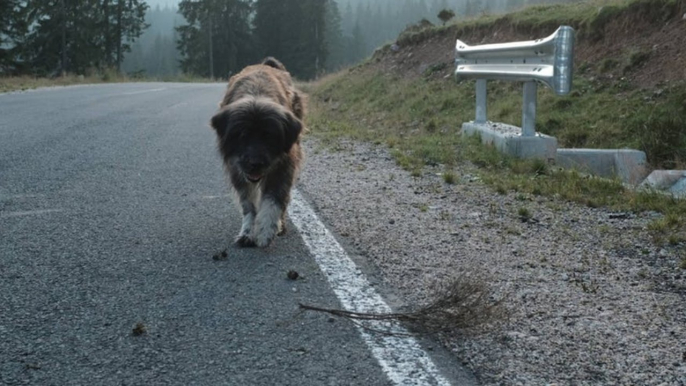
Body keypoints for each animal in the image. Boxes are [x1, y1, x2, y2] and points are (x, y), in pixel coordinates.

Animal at [210, 58, 306, 250]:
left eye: (269, 137)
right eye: (242, 135)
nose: (255, 163)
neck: (257, 94)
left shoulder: (283, 166)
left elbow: (273, 200)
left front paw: (266, 230)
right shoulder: (237, 170)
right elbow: (248, 205)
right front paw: (247, 232)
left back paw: (279, 225)